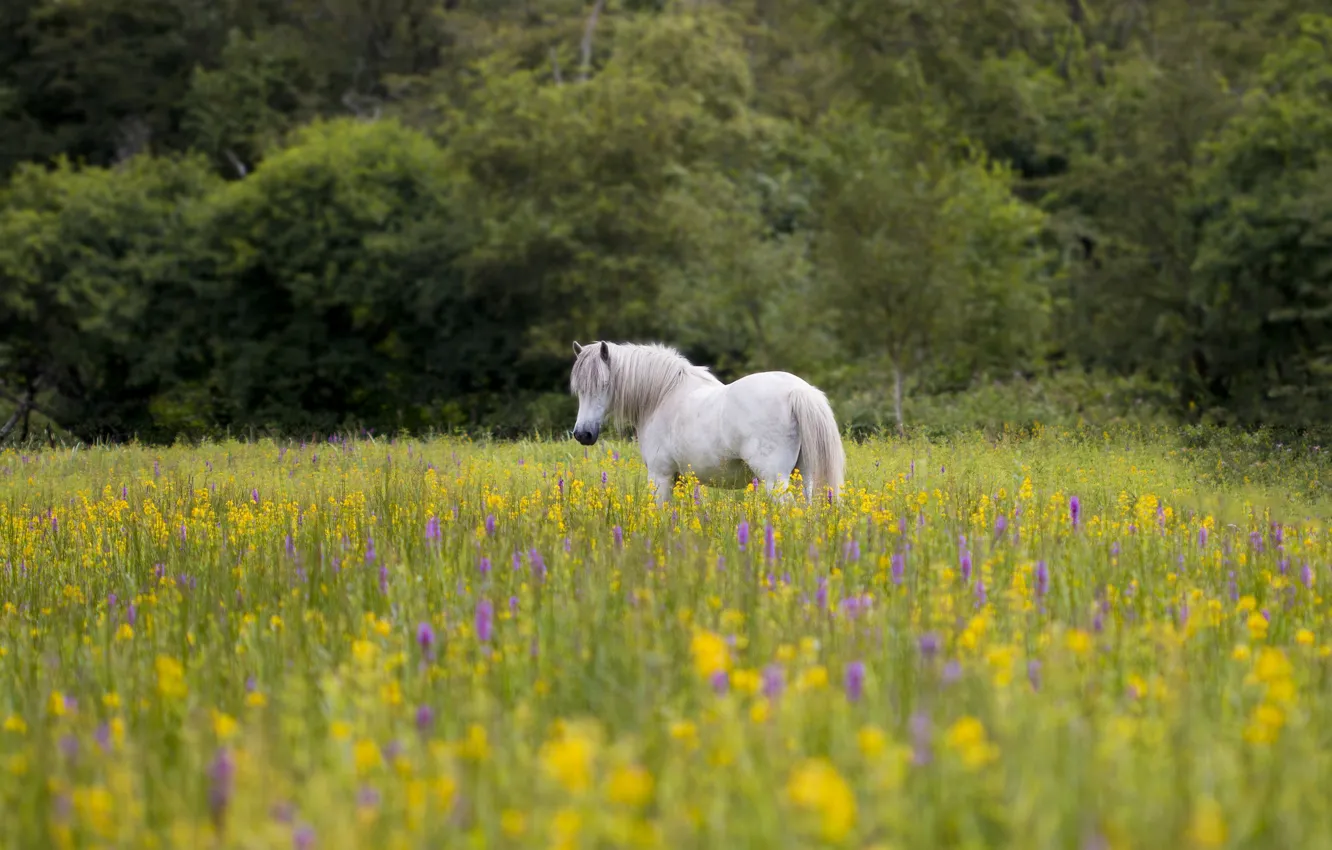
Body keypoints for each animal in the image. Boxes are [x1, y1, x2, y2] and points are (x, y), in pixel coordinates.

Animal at [569, 340, 846, 505]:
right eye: (579, 389)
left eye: (603, 384)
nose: (582, 434)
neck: (662, 395)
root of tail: (797, 391)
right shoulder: (680, 479)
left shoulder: (660, 476)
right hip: (804, 477)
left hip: (774, 480)